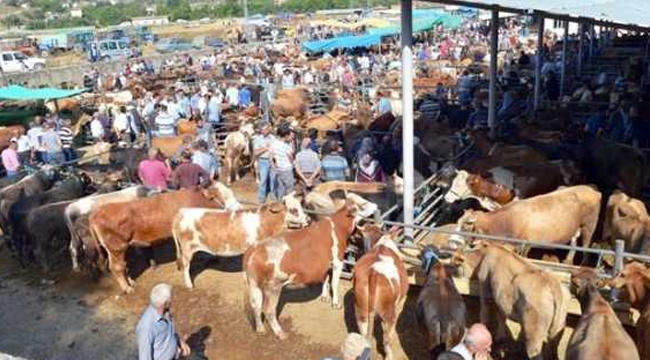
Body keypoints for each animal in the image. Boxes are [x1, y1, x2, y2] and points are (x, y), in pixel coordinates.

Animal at [88, 183, 235, 292]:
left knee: (123, 265)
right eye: (224, 196)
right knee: (117, 267)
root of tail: (96, 213)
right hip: (117, 247)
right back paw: (127, 288)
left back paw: (130, 281)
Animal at [172, 195, 308, 288]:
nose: (309, 219)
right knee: (185, 266)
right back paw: (189, 285)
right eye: (294, 210)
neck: (266, 223)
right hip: (187, 249)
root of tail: (180, 212)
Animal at [242, 193, 374, 338]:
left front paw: (324, 297)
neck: (338, 227)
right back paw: (280, 333)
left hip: (254, 283)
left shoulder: (325, 263)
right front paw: (336, 303)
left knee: (256, 305)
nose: (376, 205)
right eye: (363, 204)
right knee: (268, 309)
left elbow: (326, 279)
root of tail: (255, 248)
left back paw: (260, 329)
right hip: (274, 286)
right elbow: (334, 283)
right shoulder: (338, 261)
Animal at [352, 228, 408, 360]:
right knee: (387, 337)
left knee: (364, 331)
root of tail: (374, 271)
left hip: (361, 308)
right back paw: (389, 355)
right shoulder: (401, 302)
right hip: (389, 313)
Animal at [456, 186, 596, 264]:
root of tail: (591, 190)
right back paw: (568, 261)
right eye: (458, 221)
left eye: (467, 224)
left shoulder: (523, 245)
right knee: (574, 242)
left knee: (586, 244)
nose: (454, 240)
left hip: (588, 226)